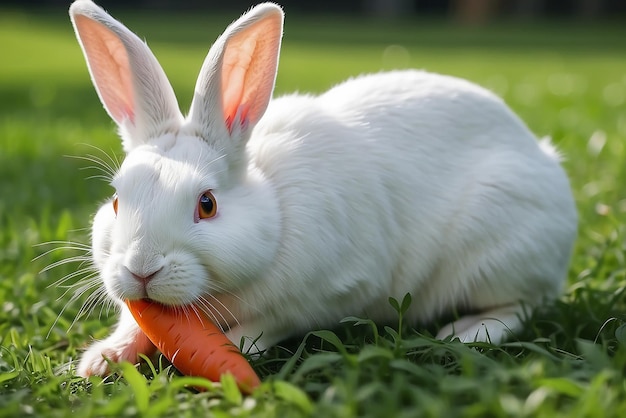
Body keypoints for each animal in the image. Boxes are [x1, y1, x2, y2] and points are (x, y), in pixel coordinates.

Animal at [69, 0, 576, 378]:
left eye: (207, 204)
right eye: (117, 200)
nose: (141, 270)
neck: (274, 208)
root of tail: (545, 163)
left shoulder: (322, 296)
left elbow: (267, 326)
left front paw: (230, 348)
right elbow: (132, 326)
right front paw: (99, 361)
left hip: (499, 253)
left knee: (523, 305)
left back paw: (465, 332)